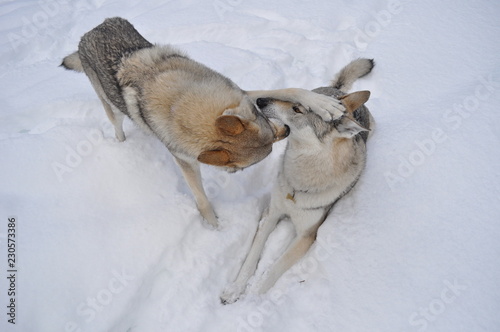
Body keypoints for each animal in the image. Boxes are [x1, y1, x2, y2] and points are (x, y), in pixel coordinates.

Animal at [60, 16, 346, 227]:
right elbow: (201, 197)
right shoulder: (185, 161)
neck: (179, 101)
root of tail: (88, 32)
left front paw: (324, 104)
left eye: (266, 119)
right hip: (111, 107)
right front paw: (214, 227)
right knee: (116, 123)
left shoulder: (243, 94)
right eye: (239, 170)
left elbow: (290, 90)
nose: (286, 130)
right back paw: (120, 143)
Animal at [221, 57, 374, 304]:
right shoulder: (271, 214)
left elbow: (274, 269)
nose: (261, 100)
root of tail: (339, 91)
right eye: (295, 101)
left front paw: (253, 298)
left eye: (297, 109)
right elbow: (251, 258)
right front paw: (235, 289)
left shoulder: (306, 236)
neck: (299, 184)